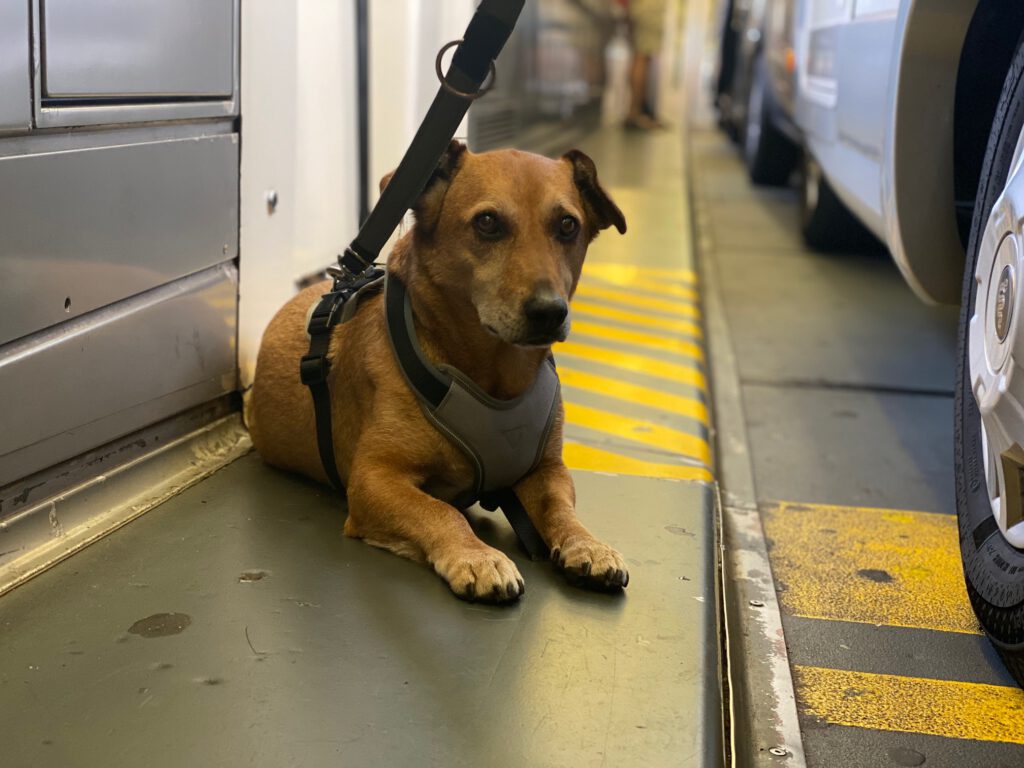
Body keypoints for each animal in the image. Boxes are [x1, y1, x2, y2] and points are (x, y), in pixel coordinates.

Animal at [249, 141, 630, 606]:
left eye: (567, 225)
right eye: (487, 222)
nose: (549, 312)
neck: (493, 378)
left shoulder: (548, 470)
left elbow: (561, 508)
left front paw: (586, 544)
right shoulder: (374, 479)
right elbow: (441, 510)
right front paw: (478, 556)